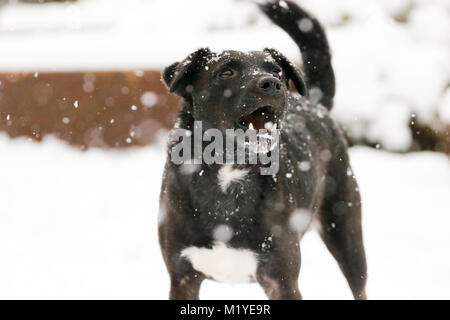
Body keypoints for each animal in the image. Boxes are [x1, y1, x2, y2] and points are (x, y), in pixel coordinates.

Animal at [158, 0, 366, 300]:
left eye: (276, 70)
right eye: (226, 72)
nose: (272, 83)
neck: (230, 170)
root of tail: (315, 104)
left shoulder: (282, 280)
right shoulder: (182, 277)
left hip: (348, 237)